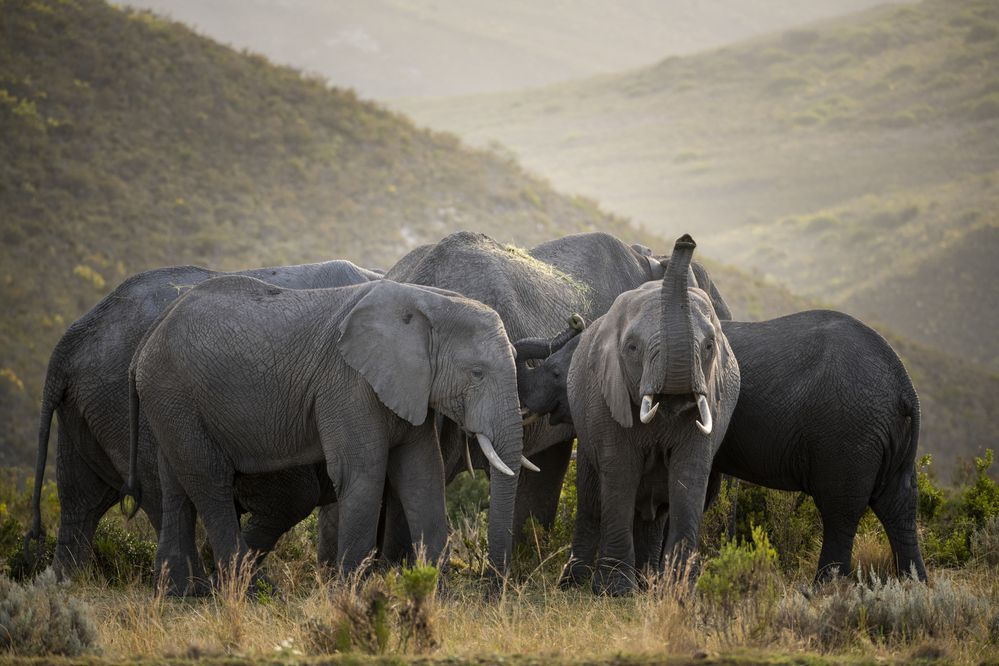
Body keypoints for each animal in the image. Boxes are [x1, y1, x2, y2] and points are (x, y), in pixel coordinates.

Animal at [25, 260, 381, 583]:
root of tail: (70, 341)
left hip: (85, 407)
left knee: (82, 499)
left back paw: (64, 582)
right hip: (126, 401)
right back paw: (211, 584)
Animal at [124, 276, 525, 590]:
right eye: (477, 373)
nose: (492, 594)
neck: (429, 300)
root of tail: (147, 340)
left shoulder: (410, 388)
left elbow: (422, 475)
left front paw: (436, 598)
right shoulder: (347, 384)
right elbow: (362, 474)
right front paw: (351, 597)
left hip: (172, 404)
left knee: (176, 486)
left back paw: (183, 594)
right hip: (174, 392)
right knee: (210, 481)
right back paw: (243, 593)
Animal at [561, 235, 740, 595]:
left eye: (710, 347)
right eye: (632, 348)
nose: (685, 240)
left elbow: (689, 476)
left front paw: (681, 591)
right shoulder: (607, 400)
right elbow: (619, 473)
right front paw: (614, 591)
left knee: (654, 512)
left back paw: (648, 583)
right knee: (591, 499)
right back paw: (574, 582)